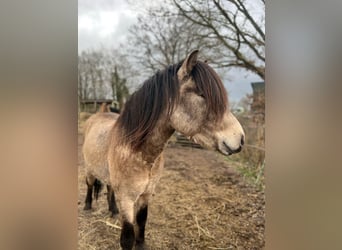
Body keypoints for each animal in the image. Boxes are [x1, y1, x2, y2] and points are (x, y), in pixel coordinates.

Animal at [81, 49, 244, 249]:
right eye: (201, 94)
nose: (240, 139)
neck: (140, 152)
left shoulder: (146, 195)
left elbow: (141, 224)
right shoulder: (127, 199)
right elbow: (127, 238)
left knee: (110, 188)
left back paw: (112, 210)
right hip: (89, 170)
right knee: (89, 185)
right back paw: (87, 206)